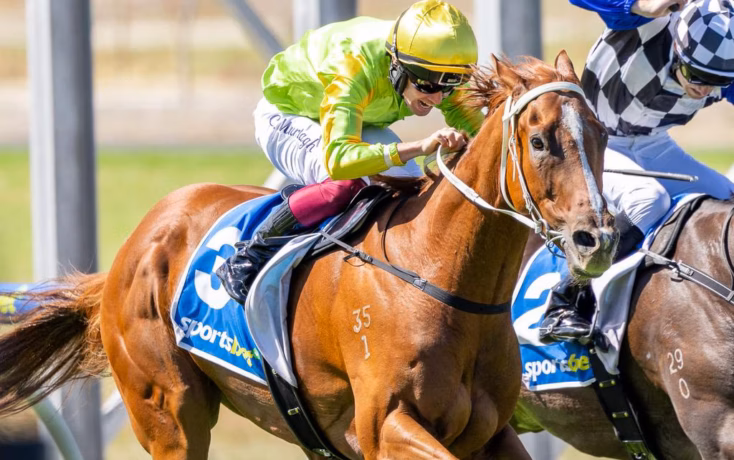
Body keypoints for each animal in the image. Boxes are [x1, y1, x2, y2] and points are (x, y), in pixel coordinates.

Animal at [0, 51, 616, 459]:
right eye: (539, 140)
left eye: (603, 134)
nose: (597, 238)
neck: (442, 275)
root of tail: (134, 244)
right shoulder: (384, 426)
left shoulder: (490, 432)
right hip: (167, 412)